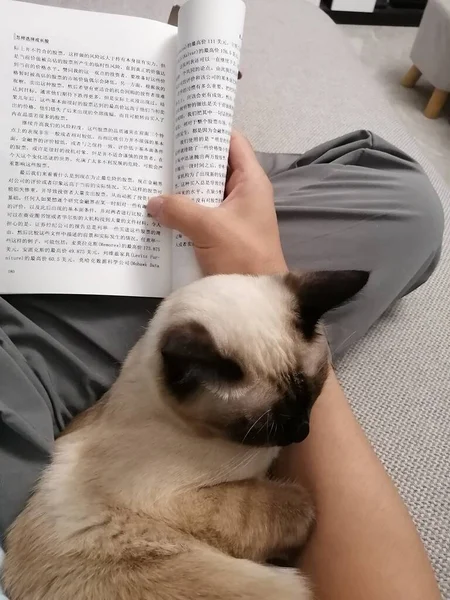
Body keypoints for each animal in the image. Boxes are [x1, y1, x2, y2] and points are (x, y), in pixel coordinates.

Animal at [3, 270, 368, 600]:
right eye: (267, 425)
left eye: (312, 396)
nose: (302, 432)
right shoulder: (178, 499)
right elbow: (274, 504)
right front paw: (301, 510)